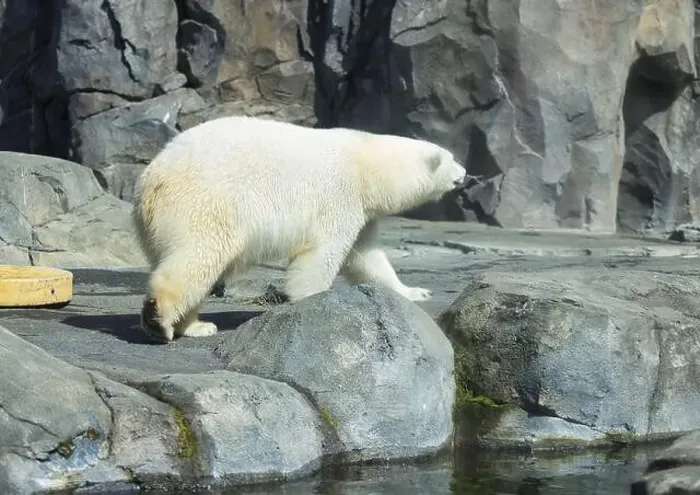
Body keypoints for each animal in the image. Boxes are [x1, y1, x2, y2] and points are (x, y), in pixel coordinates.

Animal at [132, 116, 466, 342]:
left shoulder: (361, 210)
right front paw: (312, 300)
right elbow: (325, 251)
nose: (464, 172)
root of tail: (149, 181)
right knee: (199, 255)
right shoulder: (339, 194)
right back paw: (160, 320)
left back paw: (197, 326)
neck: (366, 164)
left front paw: (415, 291)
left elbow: (367, 257)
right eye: (451, 158)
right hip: (204, 204)